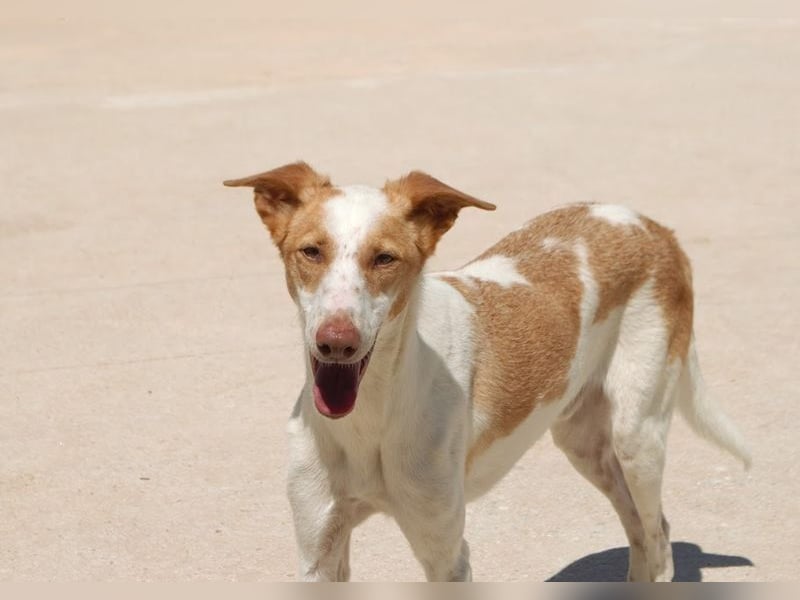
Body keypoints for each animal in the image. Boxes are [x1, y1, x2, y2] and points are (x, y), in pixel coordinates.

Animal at [223, 163, 752, 580]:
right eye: (311, 252)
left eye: (385, 258)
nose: (336, 341)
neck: (371, 418)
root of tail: (652, 225)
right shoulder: (318, 550)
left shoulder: (446, 557)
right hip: (583, 442)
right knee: (643, 532)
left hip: (636, 436)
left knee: (659, 537)